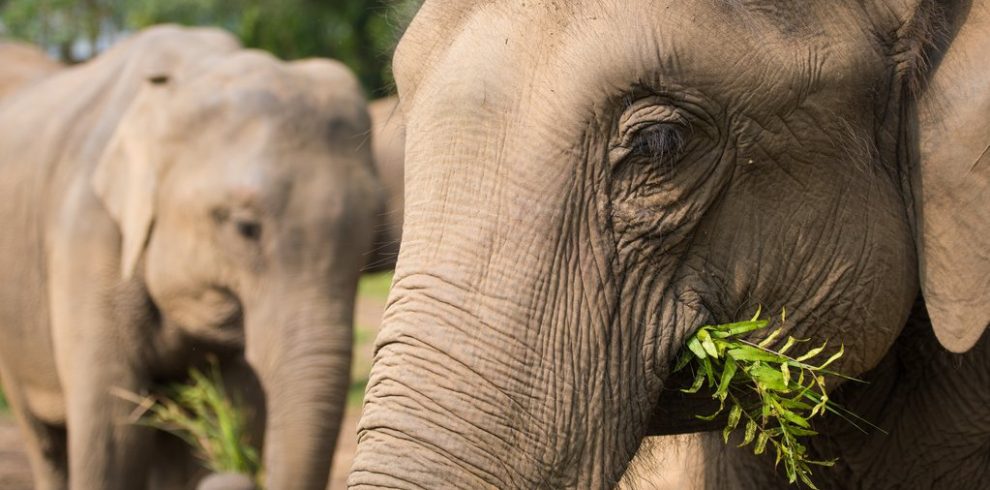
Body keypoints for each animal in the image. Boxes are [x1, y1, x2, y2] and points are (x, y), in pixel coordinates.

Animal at [0, 25, 381, 490]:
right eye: (244, 227)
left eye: (371, 235)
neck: (194, 73)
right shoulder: (86, 233)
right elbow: (114, 435)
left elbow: (232, 413)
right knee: (47, 441)